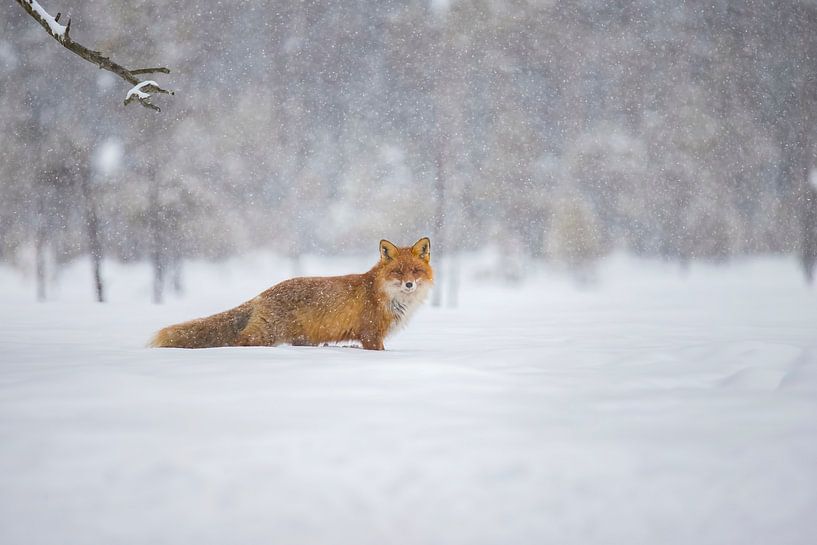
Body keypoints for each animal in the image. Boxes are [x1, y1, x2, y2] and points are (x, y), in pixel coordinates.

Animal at [150, 237, 433, 351]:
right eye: (398, 272)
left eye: (415, 271)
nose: (409, 285)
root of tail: (263, 293)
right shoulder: (371, 335)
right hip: (266, 335)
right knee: (239, 341)